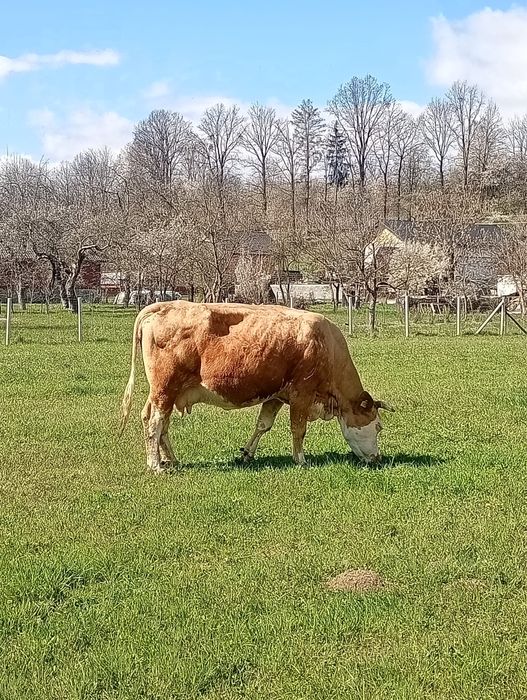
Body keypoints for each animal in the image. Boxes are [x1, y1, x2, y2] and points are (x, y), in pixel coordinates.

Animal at [119, 301, 393, 473]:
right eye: (378, 426)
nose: (378, 459)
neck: (326, 344)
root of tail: (162, 306)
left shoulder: (276, 395)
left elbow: (263, 425)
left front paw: (247, 453)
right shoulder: (301, 393)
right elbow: (298, 429)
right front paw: (301, 460)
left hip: (164, 393)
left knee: (155, 422)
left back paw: (170, 460)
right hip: (165, 390)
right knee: (155, 424)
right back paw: (156, 465)